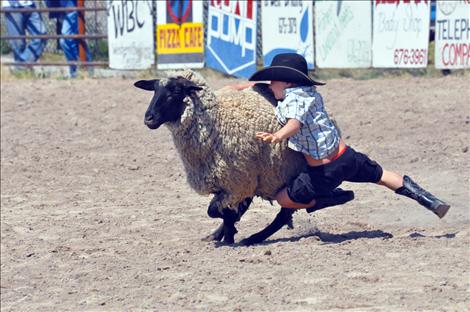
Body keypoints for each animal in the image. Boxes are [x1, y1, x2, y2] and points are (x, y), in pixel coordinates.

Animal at [133, 69, 352, 245]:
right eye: (154, 90)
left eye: (176, 91)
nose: (149, 118)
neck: (216, 122)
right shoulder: (228, 183)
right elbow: (222, 210)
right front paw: (226, 233)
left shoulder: (240, 181)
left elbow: (216, 210)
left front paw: (229, 236)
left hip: (286, 174)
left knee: (285, 213)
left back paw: (254, 237)